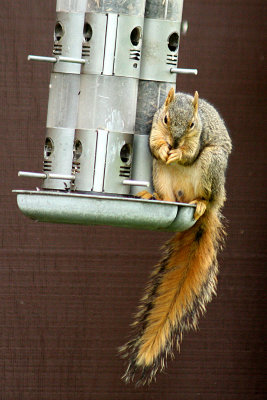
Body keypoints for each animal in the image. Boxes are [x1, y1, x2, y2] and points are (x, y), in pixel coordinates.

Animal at [119, 88, 232, 384]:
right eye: (166, 119)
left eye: (192, 124)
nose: (175, 142)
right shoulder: (155, 129)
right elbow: (153, 144)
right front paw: (163, 149)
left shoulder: (198, 139)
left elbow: (190, 153)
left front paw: (179, 152)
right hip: (160, 174)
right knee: (167, 189)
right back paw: (157, 197)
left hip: (211, 165)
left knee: (204, 194)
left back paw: (201, 203)